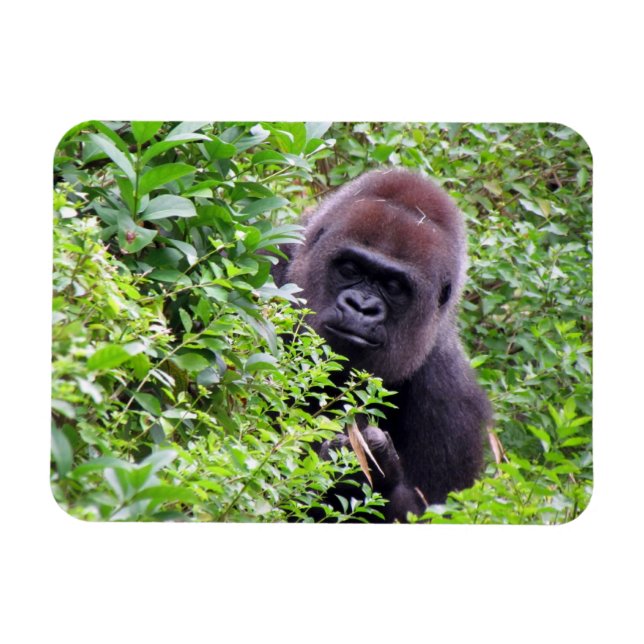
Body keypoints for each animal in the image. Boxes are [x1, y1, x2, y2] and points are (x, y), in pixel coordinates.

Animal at [273, 168, 492, 522]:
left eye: (393, 286)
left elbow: (433, 510)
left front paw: (377, 471)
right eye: (350, 269)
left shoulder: (453, 402)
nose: (361, 307)